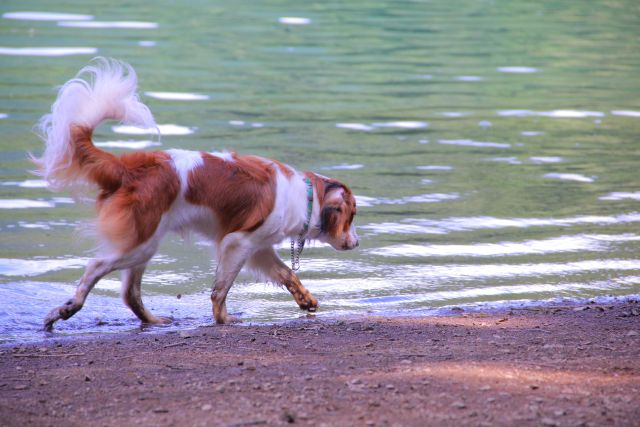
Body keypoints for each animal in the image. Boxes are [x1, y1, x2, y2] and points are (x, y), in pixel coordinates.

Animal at [36, 57, 360, 332]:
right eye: (351, 217)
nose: (357, 243)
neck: (305, 197)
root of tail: (129, 167)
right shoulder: (237, 243)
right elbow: (221, 288)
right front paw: (223, 319)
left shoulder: (259, 248)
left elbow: (286, 274)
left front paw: (305, 298)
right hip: (139, 243)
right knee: (95, 267)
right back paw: (67, 309)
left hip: (146, 243)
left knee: (130, 293)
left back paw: (153, 321)